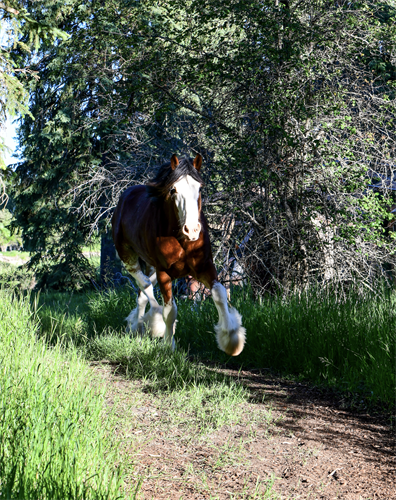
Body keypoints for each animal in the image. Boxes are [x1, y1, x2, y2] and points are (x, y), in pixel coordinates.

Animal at [111, 153, 246, 356]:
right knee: (145, 285)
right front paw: (169, 344)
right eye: (173, 189)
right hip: (128, 256)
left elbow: (219, 293)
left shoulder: (204, 267)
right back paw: (151, 324)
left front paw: (232, 340)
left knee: (143, 291)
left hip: (150, 265)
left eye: (199, 188)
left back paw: (138, 327)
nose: (192, 230)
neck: (182, 240)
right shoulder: (164, 273)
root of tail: (126, 196)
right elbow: (170, 311)